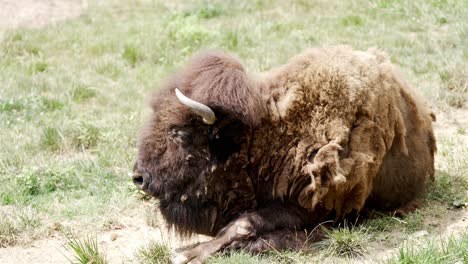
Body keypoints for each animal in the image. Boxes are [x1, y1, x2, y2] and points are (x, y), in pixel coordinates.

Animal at [131, 46, 436, 262]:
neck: (262, 137)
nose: (138, 177)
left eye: (180, 133)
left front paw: (188, 254)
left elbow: (245, 224)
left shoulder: (314, 207)